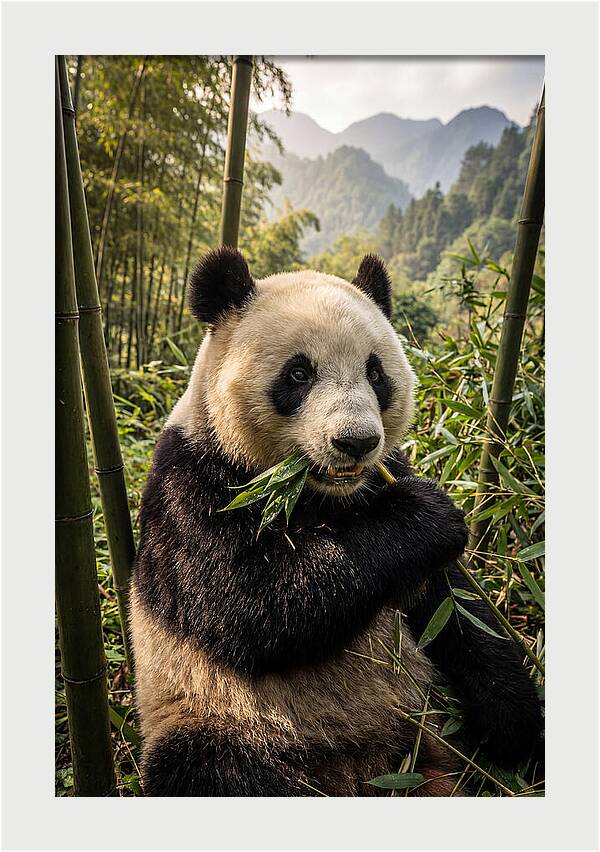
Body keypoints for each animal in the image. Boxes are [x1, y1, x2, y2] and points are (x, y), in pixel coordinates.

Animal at [130, 247, 542, 797]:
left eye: (376, 373)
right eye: (298, 374)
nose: (356, 441)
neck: (317, 494)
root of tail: (367, 770)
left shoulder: (385, 481)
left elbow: (457, 610)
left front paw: (515, 725)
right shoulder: (193, 484)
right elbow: (251, 604)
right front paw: (427, 516)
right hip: (218, 716)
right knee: (210, 770)